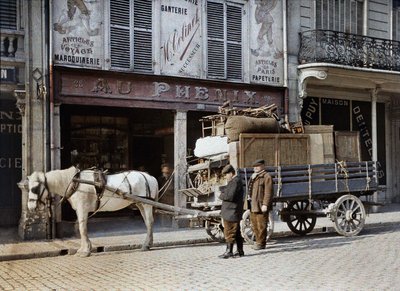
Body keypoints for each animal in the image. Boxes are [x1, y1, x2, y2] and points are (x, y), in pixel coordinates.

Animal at [26, 167, 158, 258]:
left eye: (35, 188)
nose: (30, 207)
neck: (76, 183)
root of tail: (151, 177)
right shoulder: (79, 210)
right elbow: (80, 228)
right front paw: (83, 249)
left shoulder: (82, 208)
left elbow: (82, 228)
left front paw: (85, 251)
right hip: (140, 204)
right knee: (147, 223)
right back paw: (148, 244)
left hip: (146, 204)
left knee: (150, 222)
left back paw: (146, 245)